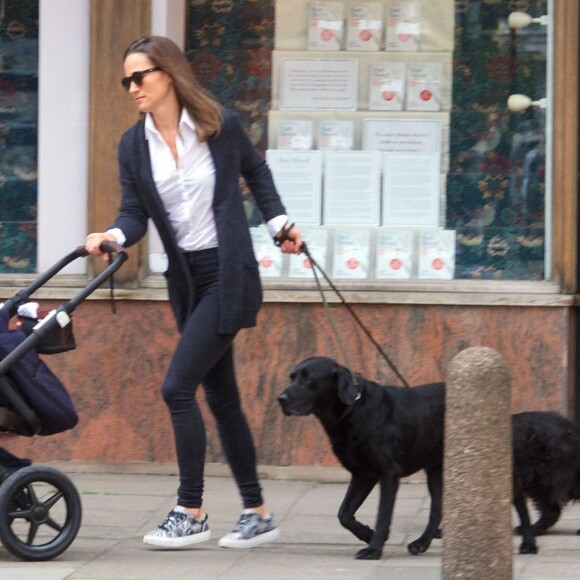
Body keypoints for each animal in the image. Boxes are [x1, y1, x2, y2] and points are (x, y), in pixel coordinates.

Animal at [276, 356, 444, 560]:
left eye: (308, 379)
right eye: (292, 377)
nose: (280, 399)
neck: (354, 410)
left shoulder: (389, 474)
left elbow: (383, 515)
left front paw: (374, 549)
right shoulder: (362, 474)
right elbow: (344, 513)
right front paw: (368, 534)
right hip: (434, 470)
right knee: (437, 510)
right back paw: (423, 542)